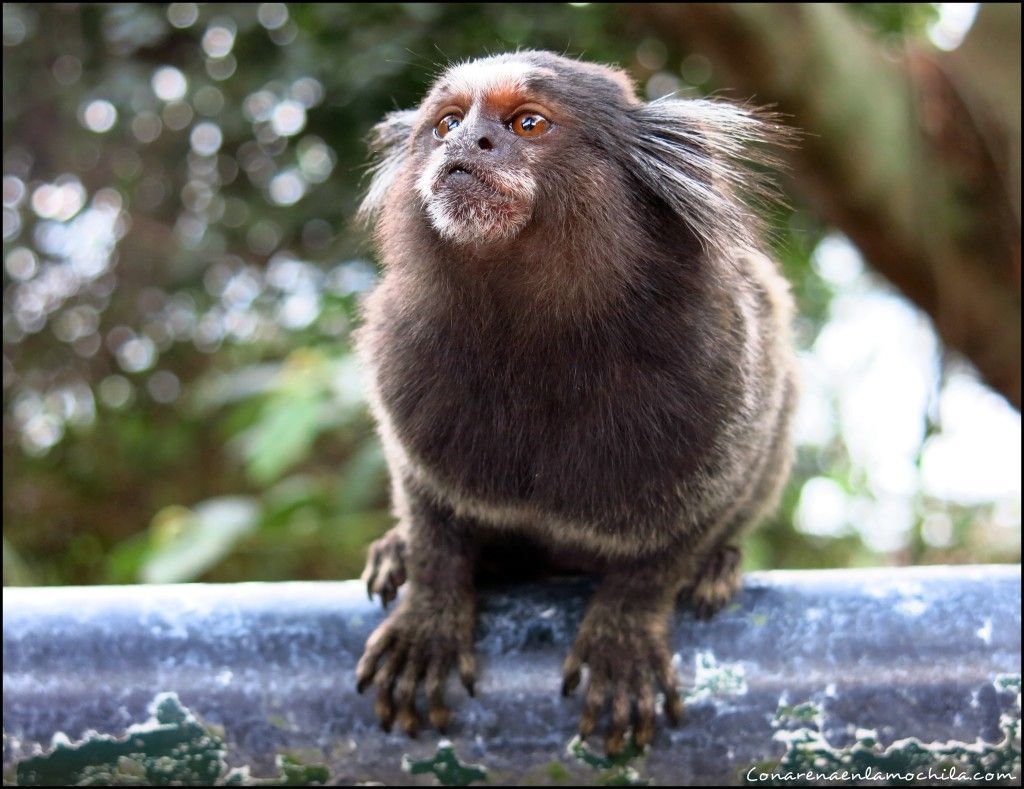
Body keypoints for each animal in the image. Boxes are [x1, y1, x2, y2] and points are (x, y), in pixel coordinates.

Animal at [356, 49, 794, 753]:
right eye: (447, 123)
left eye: (528, 123)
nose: (465, 144)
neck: (536, 334)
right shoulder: (406, 363)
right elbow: (430, 513)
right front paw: (427, 609)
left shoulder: (725, 377)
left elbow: (681, 533)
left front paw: (625, 632)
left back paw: (718, 565)